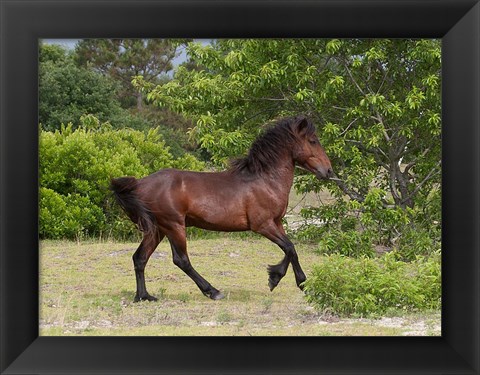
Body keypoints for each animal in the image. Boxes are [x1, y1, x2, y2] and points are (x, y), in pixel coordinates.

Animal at [110, 115, 332, 302]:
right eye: (313, 141)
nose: (328, 171)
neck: (265, 180)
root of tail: (140, 184)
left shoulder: (276, 223)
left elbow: (289, 249)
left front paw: (275, 278)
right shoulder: (263, 225)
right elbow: (290, 248)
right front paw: (299, 282)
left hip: (158, 229)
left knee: (140, 258)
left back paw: (144, 296)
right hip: (174, 226)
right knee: (181, 260)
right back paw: (213, 291)